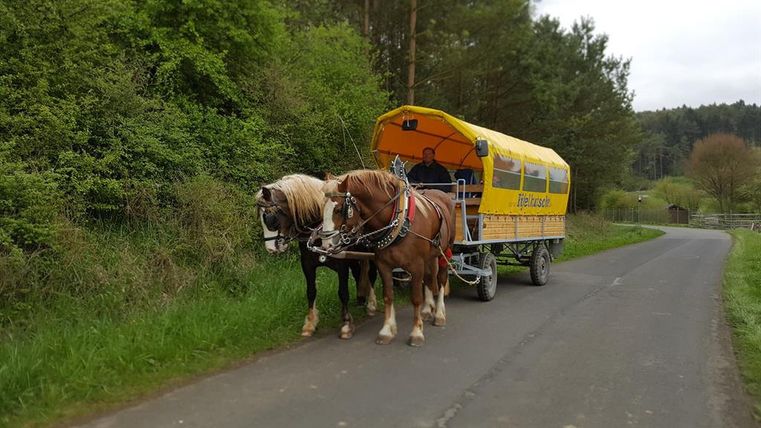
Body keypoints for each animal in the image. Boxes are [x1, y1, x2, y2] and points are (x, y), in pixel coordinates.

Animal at [256, 174, 377, 339]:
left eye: (269, 218)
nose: (271, 249)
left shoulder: (342, 265)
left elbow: (343, 292)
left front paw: (346, 323)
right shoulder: (307, 265)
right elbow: (311, 292)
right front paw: (310, 323)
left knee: (371, 275)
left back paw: (371, 303)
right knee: (359, 273)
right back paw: (360, 299)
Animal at [317, 169, 455, 346]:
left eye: (339, 209)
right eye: (322, 207)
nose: (326, 244)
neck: (398, 220)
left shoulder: (416, 265)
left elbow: (416, 298)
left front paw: (416, 333)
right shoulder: (383, 265)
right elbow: (388, 296)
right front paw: (387, 331)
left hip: (445, 250)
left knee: (441, 278)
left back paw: (439, 314)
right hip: (430, 256)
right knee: (430, 277)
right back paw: (427, 310)